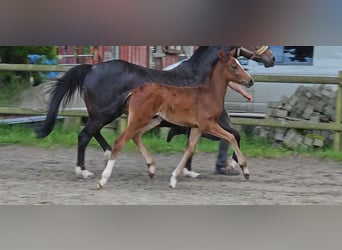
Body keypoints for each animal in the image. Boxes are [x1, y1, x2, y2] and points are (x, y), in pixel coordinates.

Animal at [97, 50, 252, 188]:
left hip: (153, 120)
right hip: (139, 119)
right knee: (120, 141)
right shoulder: (208, 124)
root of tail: (134, 91)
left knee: (136, 136)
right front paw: (245, 169)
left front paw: (173, 179)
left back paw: (151, 168)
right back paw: (103, 180)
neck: (208, 94)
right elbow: (231, 137)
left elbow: (190, 149)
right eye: (234, 66)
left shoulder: (197, 128)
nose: (250, 80)